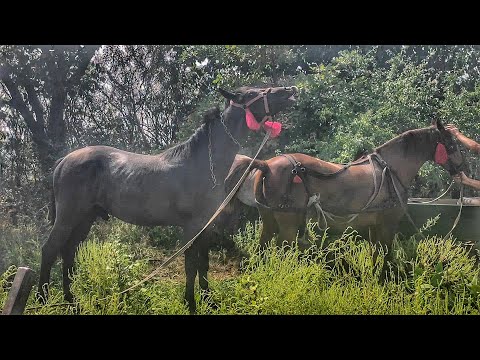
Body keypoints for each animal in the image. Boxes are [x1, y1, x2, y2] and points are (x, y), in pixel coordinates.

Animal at [39, 84, 298, 312]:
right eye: (253, 93)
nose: (290, 90)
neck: (203, 164)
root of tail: (64, 160)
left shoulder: (206, 226)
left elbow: (203, 263)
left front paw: (209, 301)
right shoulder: (191, 226)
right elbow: (191, 265)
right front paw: (191, 303)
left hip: (85, 217)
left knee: (68, 251)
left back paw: (71, 300)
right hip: (68, 216)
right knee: (50, 250)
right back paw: (44, 299)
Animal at [227, 121, 466, 250]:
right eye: (452, 143)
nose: (462, 168)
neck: (392, 170)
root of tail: (267, 164)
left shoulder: (374, 225)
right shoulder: (388, 223)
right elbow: (386, 257)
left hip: (269, 220)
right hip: (288, 223)